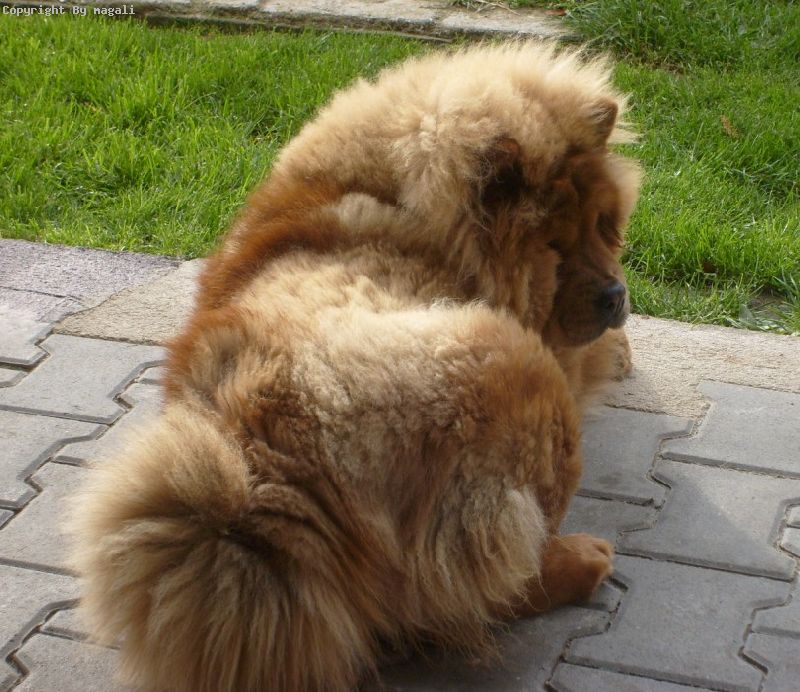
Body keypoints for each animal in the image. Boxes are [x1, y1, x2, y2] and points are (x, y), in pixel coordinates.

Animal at [70, 41, 641, 692]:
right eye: (553, 248)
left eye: (604, 226)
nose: (615, 295)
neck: (400, 205)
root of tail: (270, 466)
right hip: (516, 366)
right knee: (484, 592)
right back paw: (583, 559)